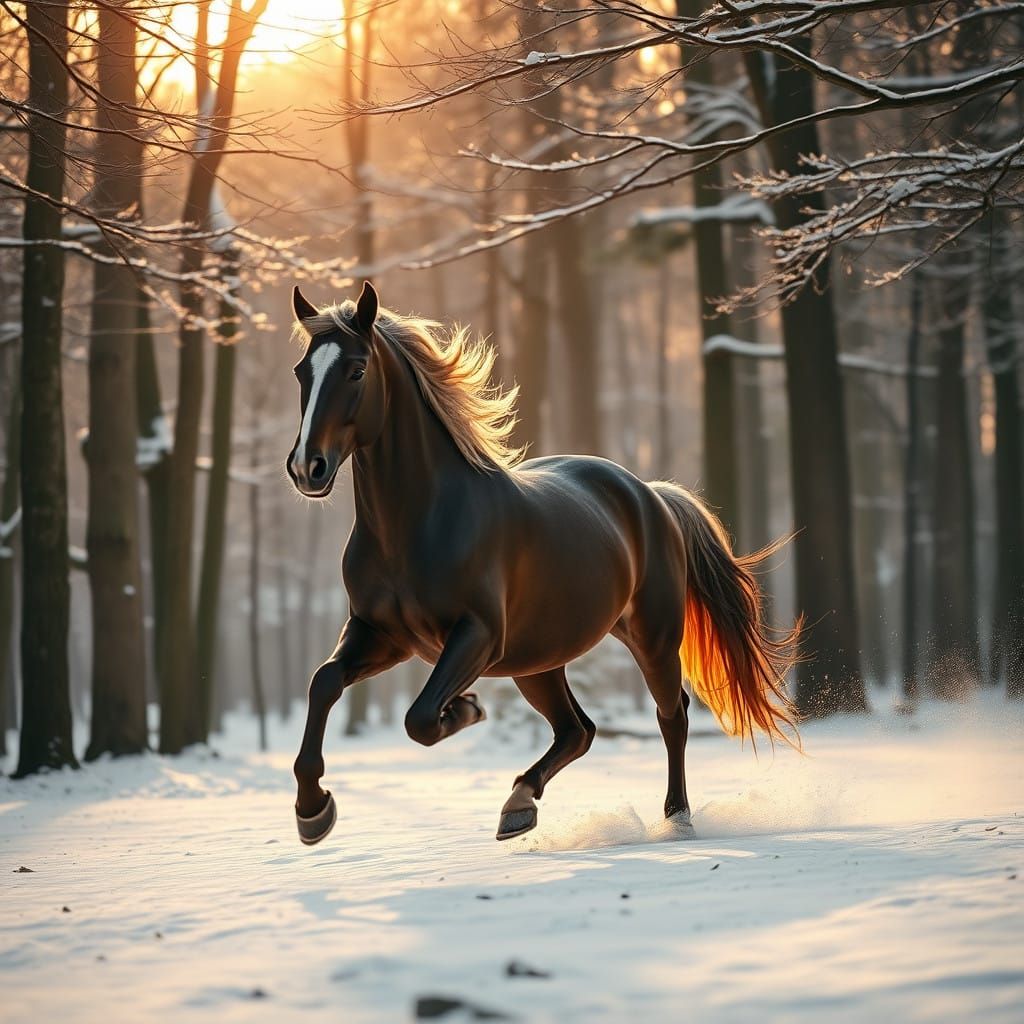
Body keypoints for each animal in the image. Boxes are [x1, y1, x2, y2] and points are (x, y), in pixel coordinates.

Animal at [286, 281, 799, 846]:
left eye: (356, 370)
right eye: (302, 372)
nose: (307, 469)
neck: (417, 524)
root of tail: (652, 495)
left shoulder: (476, 635)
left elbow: (419, 718)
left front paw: (464, 708)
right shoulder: (382, 634)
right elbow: (323, 683)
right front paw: (312, 811)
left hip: (651, 639)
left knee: (671, 717)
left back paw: (676, 819)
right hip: (538, 661)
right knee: (579, 730)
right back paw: (518, 805)